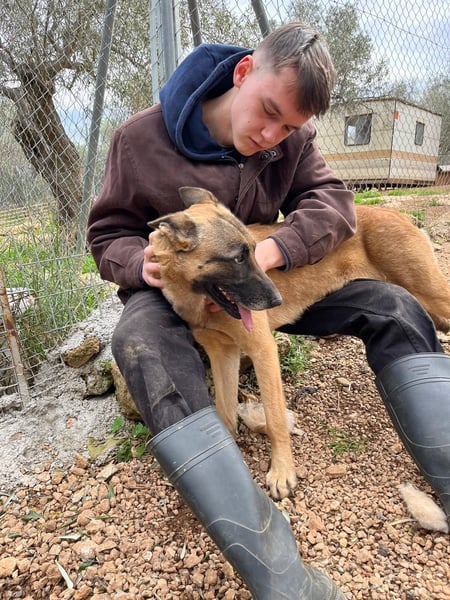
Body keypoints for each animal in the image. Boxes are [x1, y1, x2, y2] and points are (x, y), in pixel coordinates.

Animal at [148, 186, 450, 500]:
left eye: (254, 251)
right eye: (237, 259)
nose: (276, 300)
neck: (197, 298)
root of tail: (395, 213)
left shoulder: (263, 350)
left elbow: (275, 419)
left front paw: (282, 471)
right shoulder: (223, 353)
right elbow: (225, 412)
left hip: (431, 291)